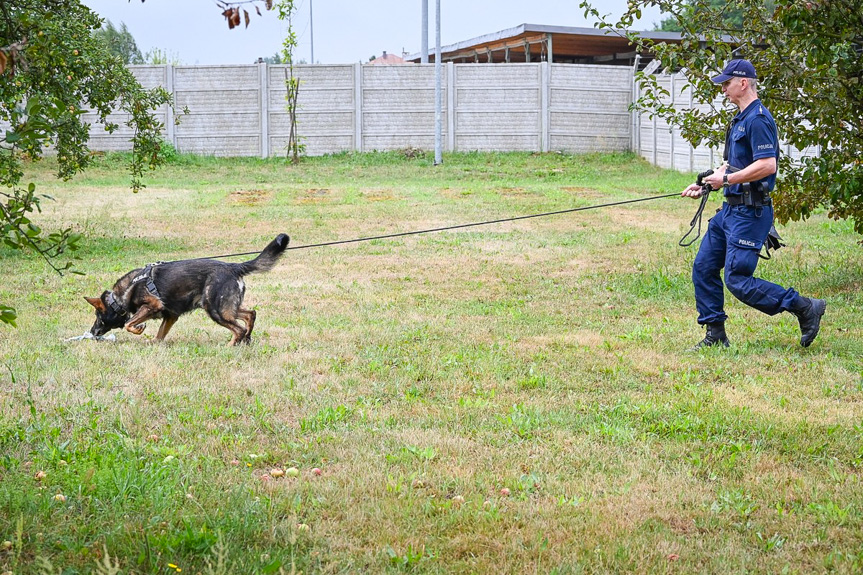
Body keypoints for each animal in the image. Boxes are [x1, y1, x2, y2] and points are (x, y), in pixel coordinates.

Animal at [87, 235, 290, 346]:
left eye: (98, 318)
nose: (92, 333)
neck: (119, 297)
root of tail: (233, 267)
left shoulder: (152, 304)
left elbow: (130, 323)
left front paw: (139, 328)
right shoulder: (171, 316)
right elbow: (160, 334)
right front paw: (154, 342)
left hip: (215, 309)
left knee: (238, 328)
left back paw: (231, 345)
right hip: (226, 308)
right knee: (250, 314)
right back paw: (246, 340)